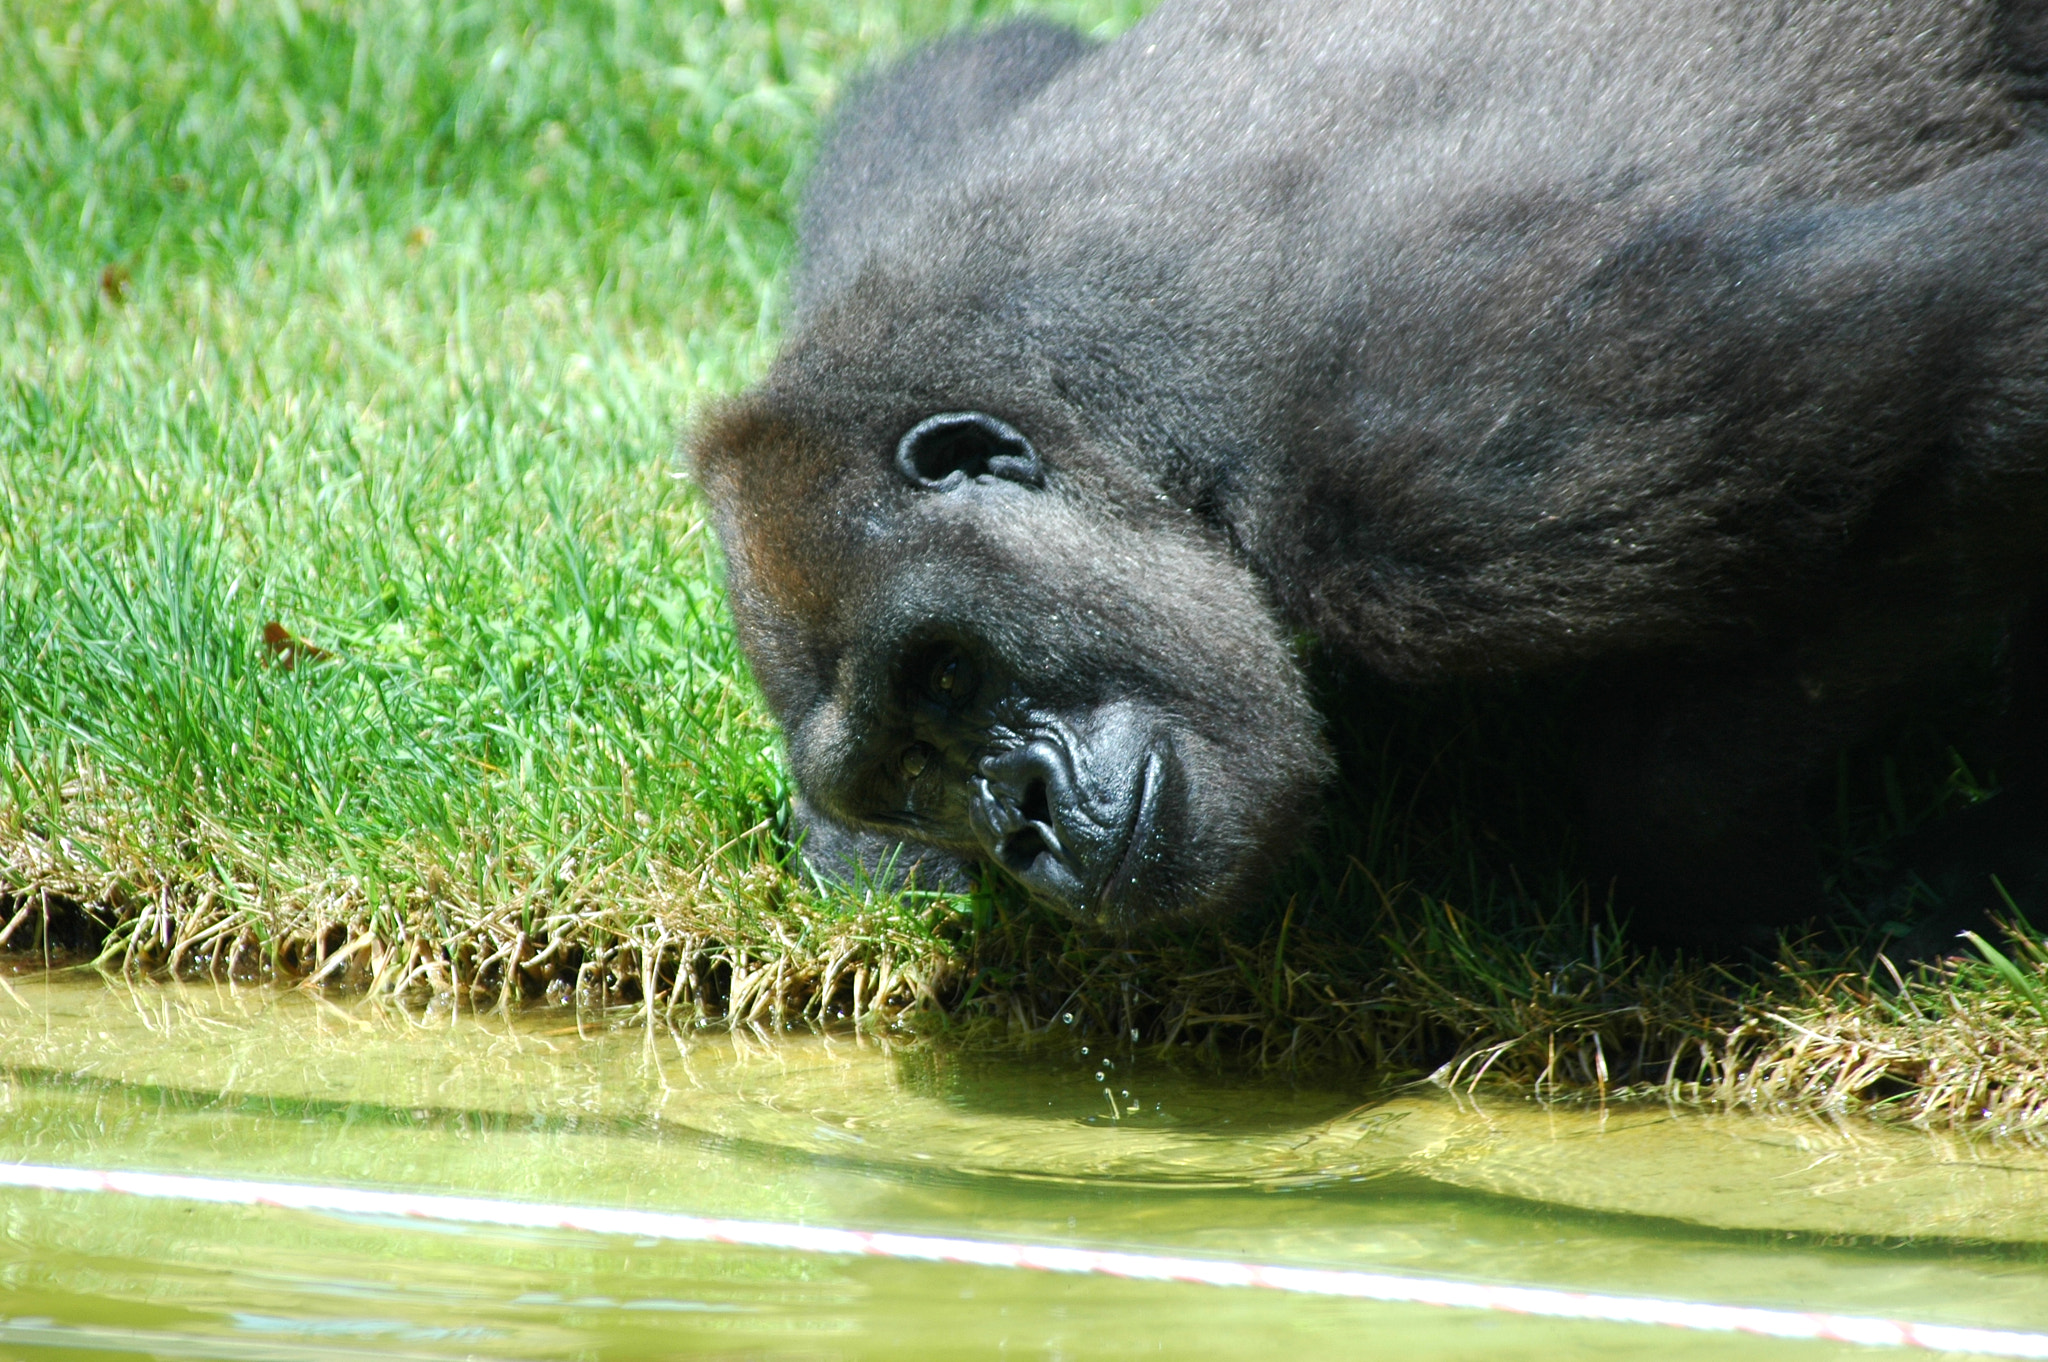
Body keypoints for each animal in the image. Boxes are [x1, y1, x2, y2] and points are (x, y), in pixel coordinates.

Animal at [692, 0, 2048, 946]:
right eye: (910, 782)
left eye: (945, 672)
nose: (1020, 820)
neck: (1112, 411)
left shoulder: (1435, 484)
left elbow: (1984, 336)